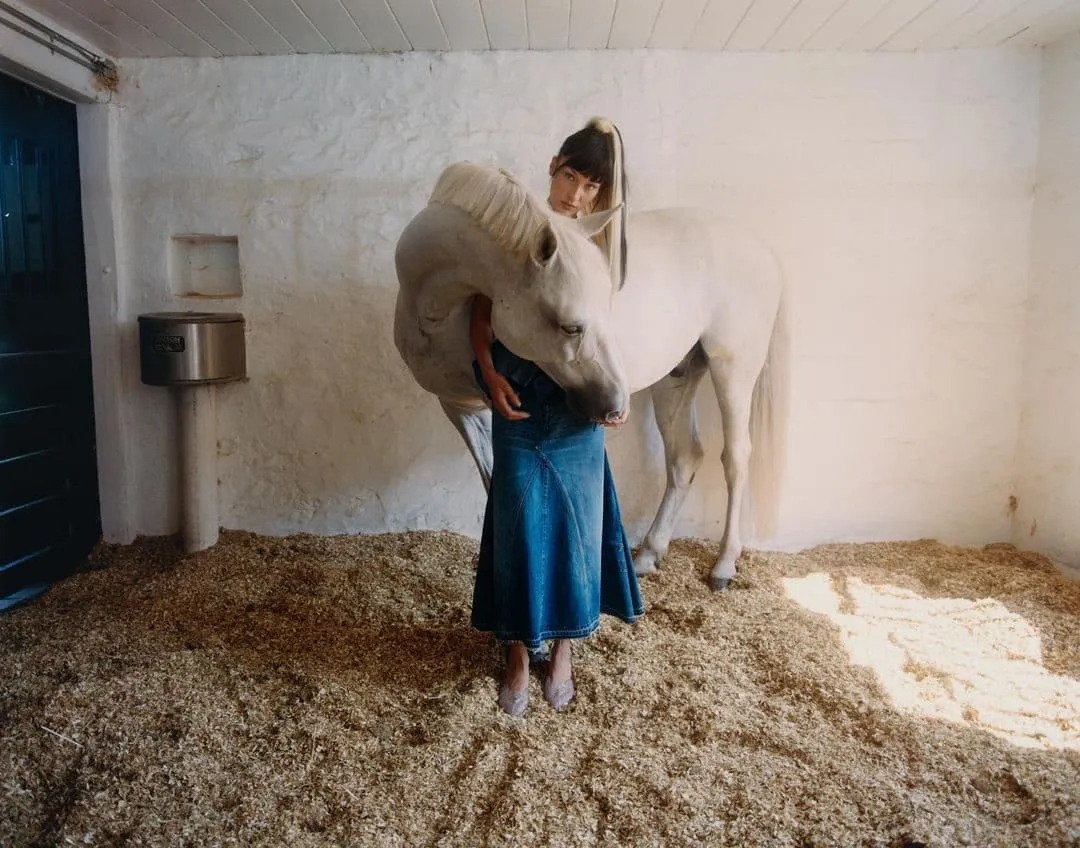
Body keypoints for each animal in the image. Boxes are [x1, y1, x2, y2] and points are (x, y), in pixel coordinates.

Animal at [393, 162, 790, 591]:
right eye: (570, 326)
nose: (615, 408)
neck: (435, 309)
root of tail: (764, 250)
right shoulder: (463, 408)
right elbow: (493, 485)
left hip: (733, 367)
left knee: (735, 457)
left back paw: (724, 564)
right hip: (677, 377)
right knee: (684, 457)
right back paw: (650, 553)